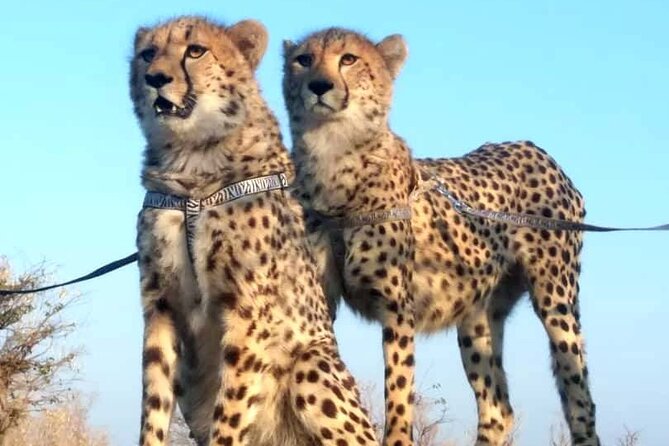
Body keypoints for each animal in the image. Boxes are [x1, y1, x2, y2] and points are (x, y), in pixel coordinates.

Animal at [130, 17, 378, 446]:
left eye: (195, 51)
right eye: (148, 53)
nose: (155, 78)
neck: (191, 164)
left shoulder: (248, 310)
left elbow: (230, 410)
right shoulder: (159, 304)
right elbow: (154, 406)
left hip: (310, 362)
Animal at [283, 27, 599, 446]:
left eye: (348, 58)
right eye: (303, 60)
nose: (319, 86)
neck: (335, 160)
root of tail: (535, 149)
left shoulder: (398, 311)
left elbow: (398, 394)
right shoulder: (325, 303)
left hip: (556, 302)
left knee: (579, 400)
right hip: (476, 319)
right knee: (497, 409)